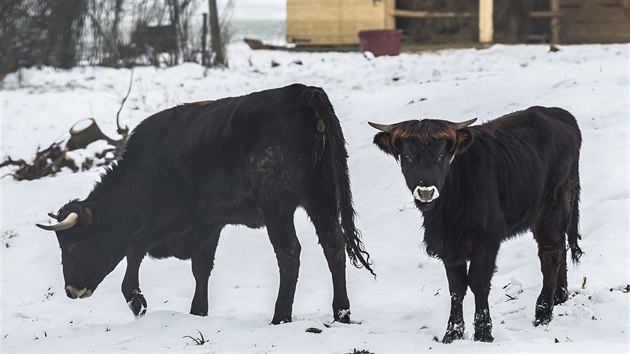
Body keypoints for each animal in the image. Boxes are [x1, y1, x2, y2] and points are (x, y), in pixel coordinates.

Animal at [38, 83, 376, 324]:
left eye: (72, 246)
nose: (71, 291)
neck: (142, 171)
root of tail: (302, 92)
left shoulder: (174, 220)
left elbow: (134, 248)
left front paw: (137, 301)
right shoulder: (208, 226)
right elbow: (201, 268)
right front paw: (197, 311)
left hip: (277, 205)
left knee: (289, 253)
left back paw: (280, 317)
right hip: (322, 195)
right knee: (333, 246)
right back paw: (341, 313)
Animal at [370, 106, 584, 342]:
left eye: (441, 155)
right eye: (407, 157)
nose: (426, 192)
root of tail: (558, 113)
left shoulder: (487, 237)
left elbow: (478, 282)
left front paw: (483, 332)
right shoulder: (448, 244)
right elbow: (456, 286)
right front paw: (452, 333)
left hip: (552, 206)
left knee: (550, 254)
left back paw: (543, 312)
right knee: (559, 248)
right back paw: (560, 297)